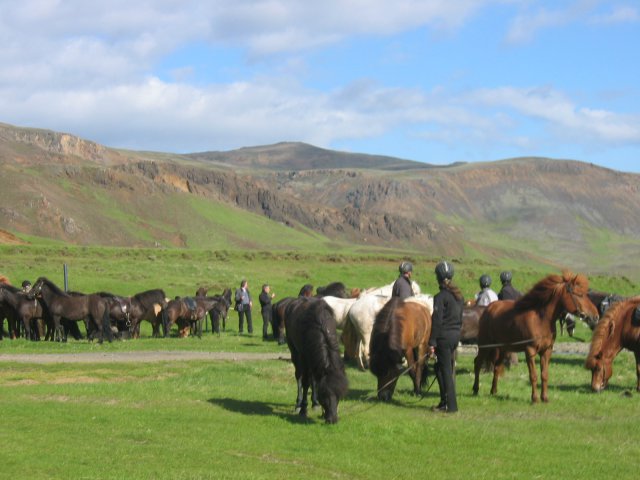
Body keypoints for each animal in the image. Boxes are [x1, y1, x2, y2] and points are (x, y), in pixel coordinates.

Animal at [282, 296, 348, 424]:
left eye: (339, 394)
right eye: (324, 394)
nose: (332, 419)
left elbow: (314, 382)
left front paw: (317, 405)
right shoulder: (304, 357)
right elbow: (305, 382)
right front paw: (303, 409)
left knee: (313, 379)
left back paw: (314, 403)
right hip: (295, 353)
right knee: (299, 376)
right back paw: (298, 404)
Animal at [470, 272, 600, 404]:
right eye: (579, 294)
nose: (595, 316)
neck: (541, 320)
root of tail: (488, 309)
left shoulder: (546, 351)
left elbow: (544, 375)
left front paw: (545, 397)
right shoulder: (530, 351)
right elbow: (533, 375)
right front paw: (535, 398)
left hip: (503, 348)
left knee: (496, 367)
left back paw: (494, 391)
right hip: (485, 346)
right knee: (477, 363)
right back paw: (475, 389)